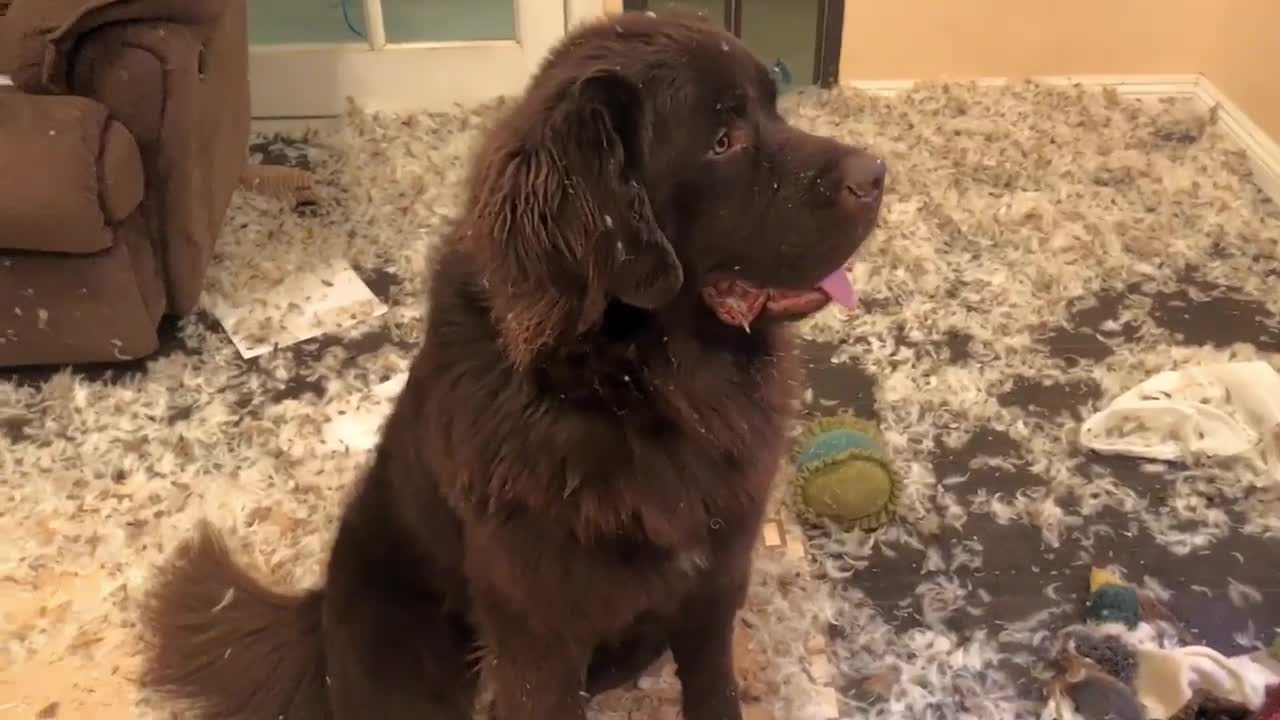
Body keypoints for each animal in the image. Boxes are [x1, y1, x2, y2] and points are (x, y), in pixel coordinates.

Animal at [140, 9, 880, 717]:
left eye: (774, 109)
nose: (877, 174)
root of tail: (315, 617)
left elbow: (714, 688)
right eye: (724, 141)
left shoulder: (713, 580)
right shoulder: (540, 633)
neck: (642, 391)